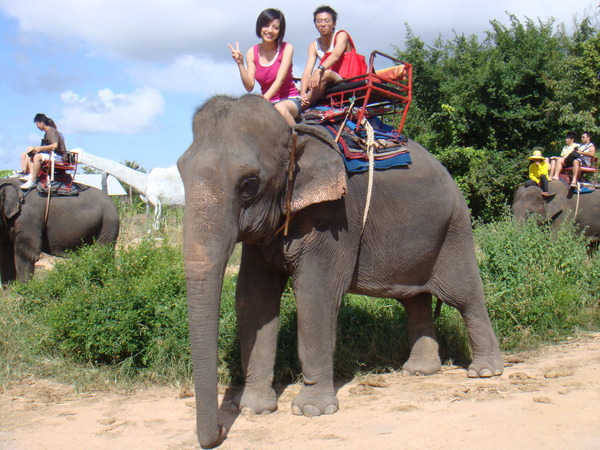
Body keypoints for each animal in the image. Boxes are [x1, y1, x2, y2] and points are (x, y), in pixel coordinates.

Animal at [177, 94, 502, 446]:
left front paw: (311, 411)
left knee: (464, 296)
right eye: (180, 171)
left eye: (249, 183)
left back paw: (485, 372)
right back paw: (418, 371)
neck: (295, 136)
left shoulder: (334, 217)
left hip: (454, 229)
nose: (222, 431)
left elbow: (314, 295)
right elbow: (254, 300)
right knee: (414, 299)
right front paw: (253, 409)